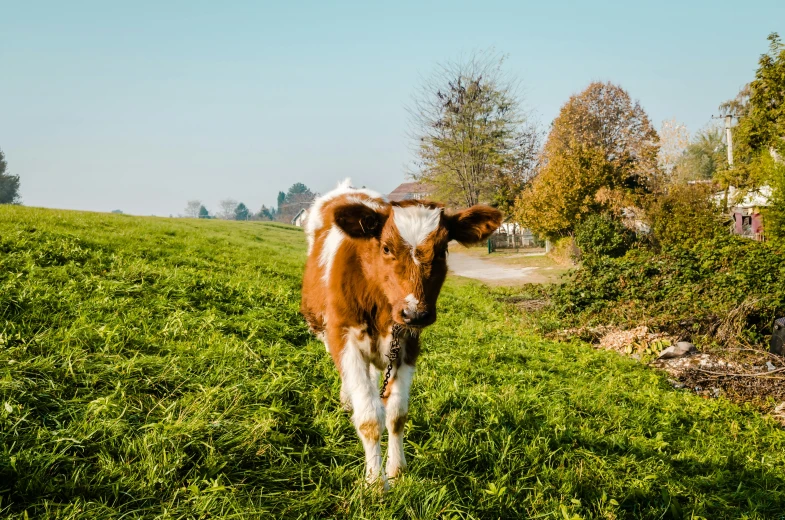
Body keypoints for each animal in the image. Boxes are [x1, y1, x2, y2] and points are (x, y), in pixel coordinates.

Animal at [298, 179, 500, 488]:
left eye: (442, 250)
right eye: (386, 248)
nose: (414, 313)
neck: (381, 307)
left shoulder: (407, 345)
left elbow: (396, 414)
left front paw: (397, 471)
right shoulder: (343, 337)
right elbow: (369, 418)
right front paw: (375, 483)